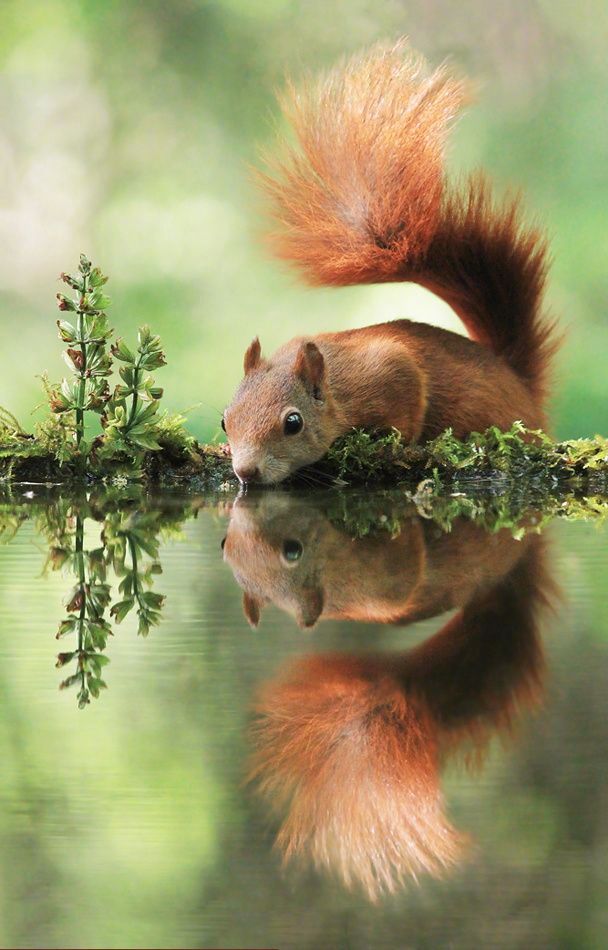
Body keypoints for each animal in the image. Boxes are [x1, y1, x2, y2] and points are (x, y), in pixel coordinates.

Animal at [221, 41, 560, 488]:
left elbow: (407, 413)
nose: (246, 471)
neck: (335, 383)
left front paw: (392, 445)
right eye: (225, 420)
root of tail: (518, 381)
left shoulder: (393, 371)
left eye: (293, 423)